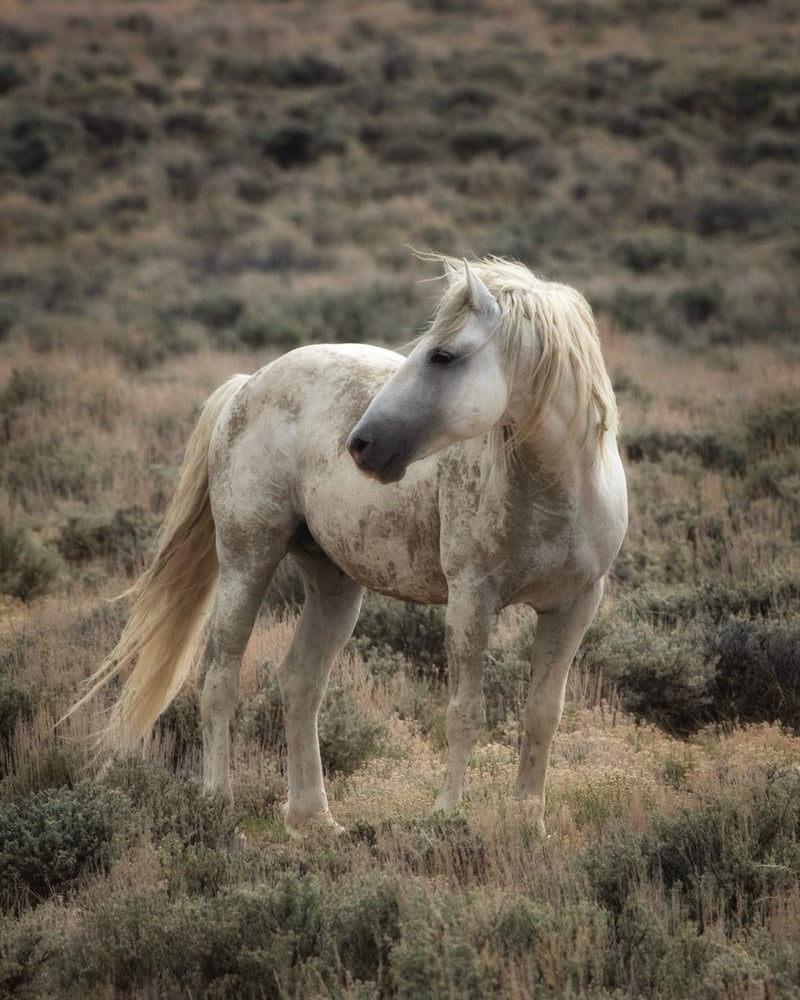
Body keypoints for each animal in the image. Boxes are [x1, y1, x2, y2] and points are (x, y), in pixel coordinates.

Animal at [72, 256, 628, 836]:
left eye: (443, 356)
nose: (361, 445)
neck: (556, 491)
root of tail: (248, 384)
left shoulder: (574, 606)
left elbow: (542, 715)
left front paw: (527, 823)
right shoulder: (472, 598)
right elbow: (464, 712)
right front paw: (445, 816)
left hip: (333, 584)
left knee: (300, 683)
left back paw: (313, 818)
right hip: (248, 561)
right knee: (219, 678)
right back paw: (219, 808)